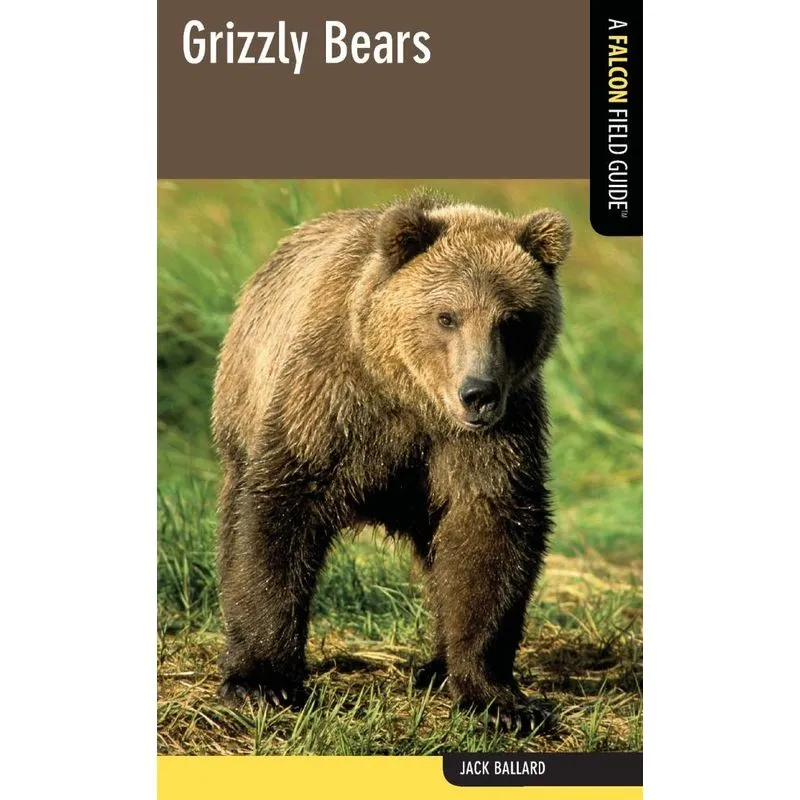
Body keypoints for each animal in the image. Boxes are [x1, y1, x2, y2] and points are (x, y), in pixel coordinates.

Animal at [211, 190, 571, 731]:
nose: (479, 394)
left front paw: (496, 697)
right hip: (244, 398)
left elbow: (488, 532)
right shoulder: (331, 402)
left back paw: (436, 668)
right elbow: (279, 513)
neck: (411, 396)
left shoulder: (493, 438)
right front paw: (261, 682)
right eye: (446, 316)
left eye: (512, 320)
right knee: (236, 516)